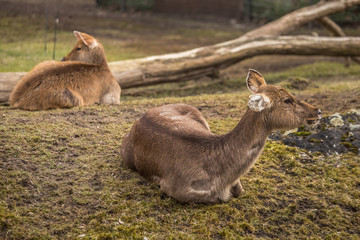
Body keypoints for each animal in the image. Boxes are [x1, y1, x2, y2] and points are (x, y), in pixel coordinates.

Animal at [121, 68, 320, 203]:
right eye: (288, 100)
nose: (317, 111)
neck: (222, 176)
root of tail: (141, 117)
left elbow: (238, 191)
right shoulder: (175, 188)